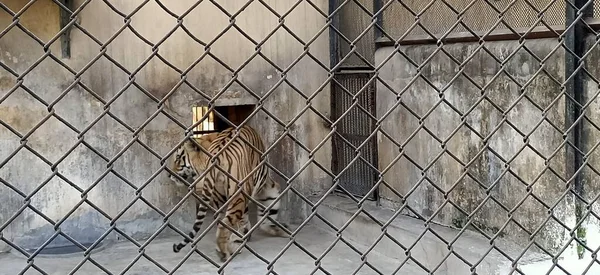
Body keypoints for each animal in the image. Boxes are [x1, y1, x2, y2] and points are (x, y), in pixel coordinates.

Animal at [168, 125, 290, 264]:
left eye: (178, 158)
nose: (169, 174)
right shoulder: (259, 187)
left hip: (222, 198)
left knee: (221, 223)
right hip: (237, 196)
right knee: (224, 226)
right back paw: (225, 252)